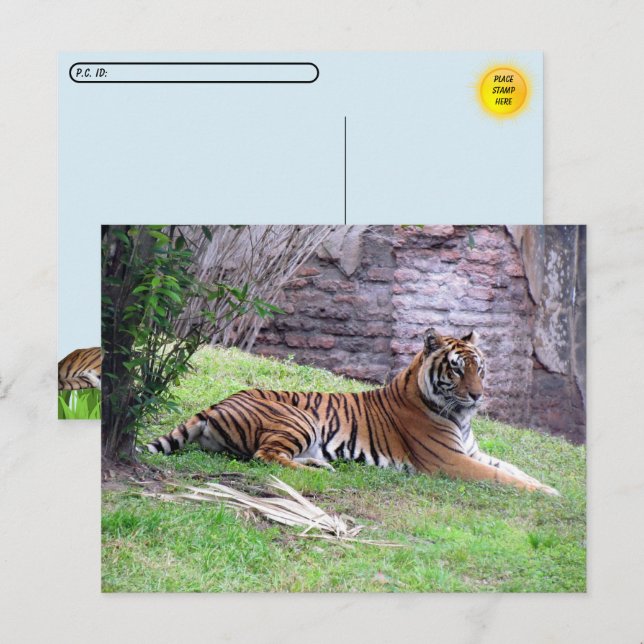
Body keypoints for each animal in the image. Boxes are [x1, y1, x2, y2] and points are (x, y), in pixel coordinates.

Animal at [146, 328, 559, 495]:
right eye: (457, 369)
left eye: (480, 368)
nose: (477, 396)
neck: (460, 417)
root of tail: (216, 402)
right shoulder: (450, 460)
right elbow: (501, 477)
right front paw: (546, 493)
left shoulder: (472, 452)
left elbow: (514, 468)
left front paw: (550, 486)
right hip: (298, 419)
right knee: (266, 456)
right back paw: (318, 470)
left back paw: (320, 465)